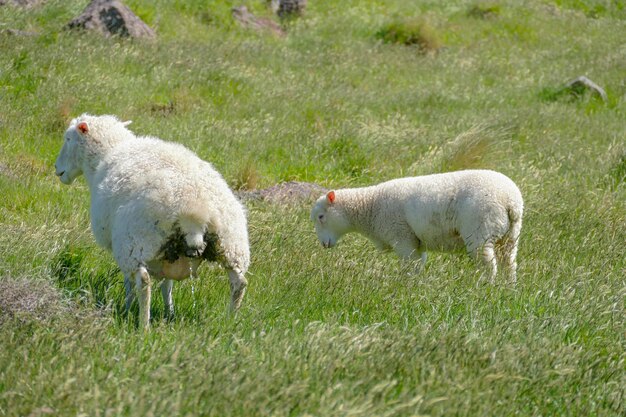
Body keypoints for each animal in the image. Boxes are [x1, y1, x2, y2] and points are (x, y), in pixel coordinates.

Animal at [53, 114, 249, 328]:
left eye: (68, 138)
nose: (57, 168)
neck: (109, 152)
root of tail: (195, 210)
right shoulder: (169, 254)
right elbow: (167, 285)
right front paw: (169, 312)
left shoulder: (123, 245)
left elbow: (129, 282)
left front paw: (127, 306)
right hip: (232, 246)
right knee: (239, 283)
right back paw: (230, 322)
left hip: (133, 243)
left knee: (143, 281)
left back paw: (143, 325)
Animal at [308, 170, 520, 282]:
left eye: (321, 217)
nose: (323, 244)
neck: (370, 206)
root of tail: (510, 200)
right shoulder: (416, 242)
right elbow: (419, 266)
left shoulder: (403, 239)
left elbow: (409, 267)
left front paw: (405, 287)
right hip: (509, 236)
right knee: (509, 263)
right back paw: (508, 288)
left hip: (480, 232)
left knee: (489, 266)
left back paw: (485, 287)